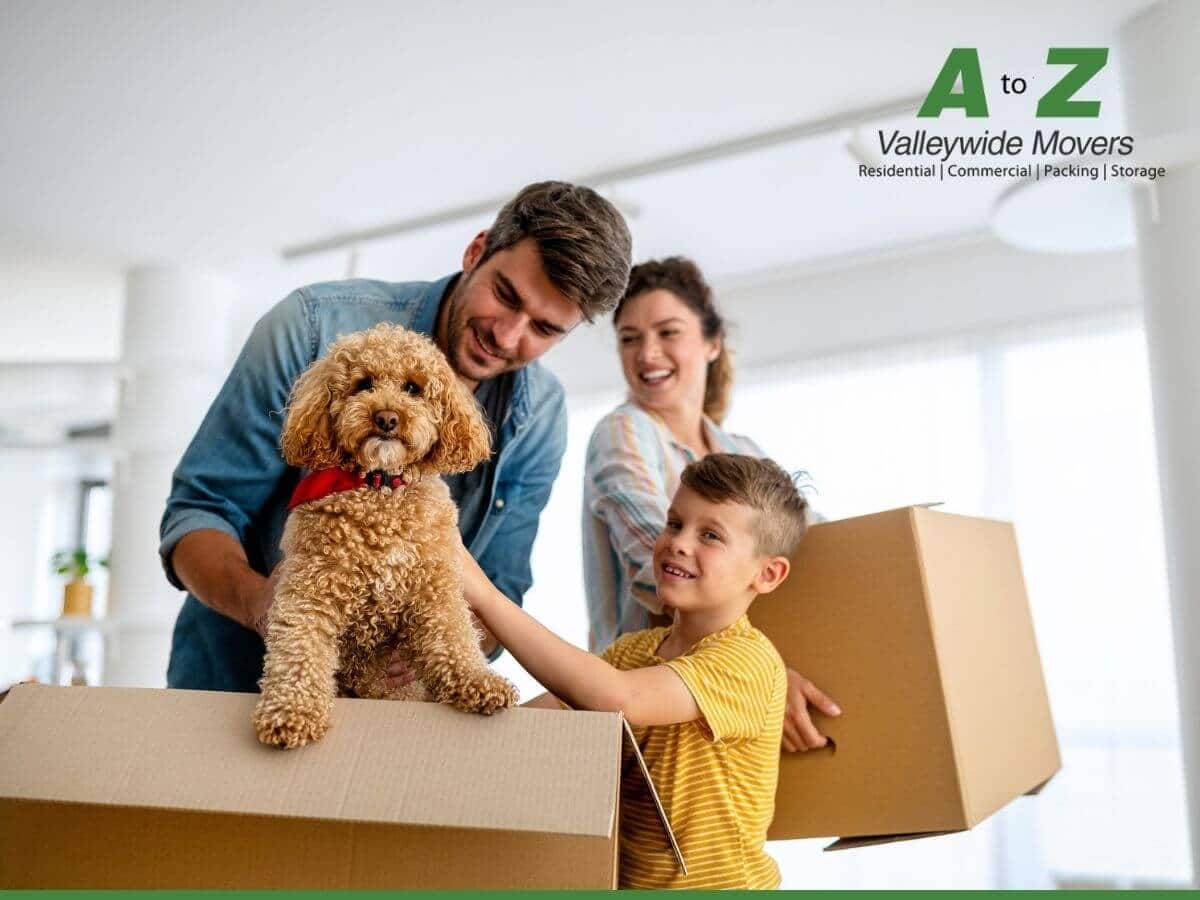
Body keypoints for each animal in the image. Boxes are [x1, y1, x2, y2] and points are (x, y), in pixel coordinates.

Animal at [253, 321, 516, 748]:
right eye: (364, 384)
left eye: (413, 387)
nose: (387, 418)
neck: (380, 488)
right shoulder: (309, 592)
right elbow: (299, 652)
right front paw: (292, 712)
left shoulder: (435, 589)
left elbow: (455, 637)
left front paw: (478, 682)